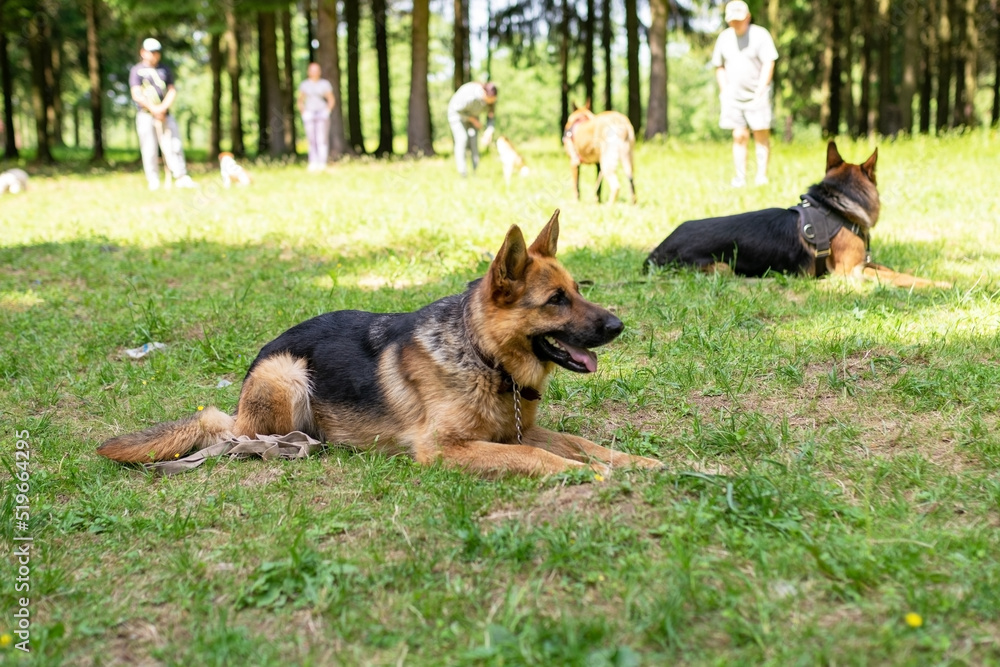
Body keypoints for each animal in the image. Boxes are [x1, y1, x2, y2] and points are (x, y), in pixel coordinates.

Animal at [644, 142, 948, 288]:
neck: (836, 205)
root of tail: (657, 250)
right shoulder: (852, 272)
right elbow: (899, 277)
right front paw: (940, 284)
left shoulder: (865, 264)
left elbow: (893, 269)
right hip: (722, 268)